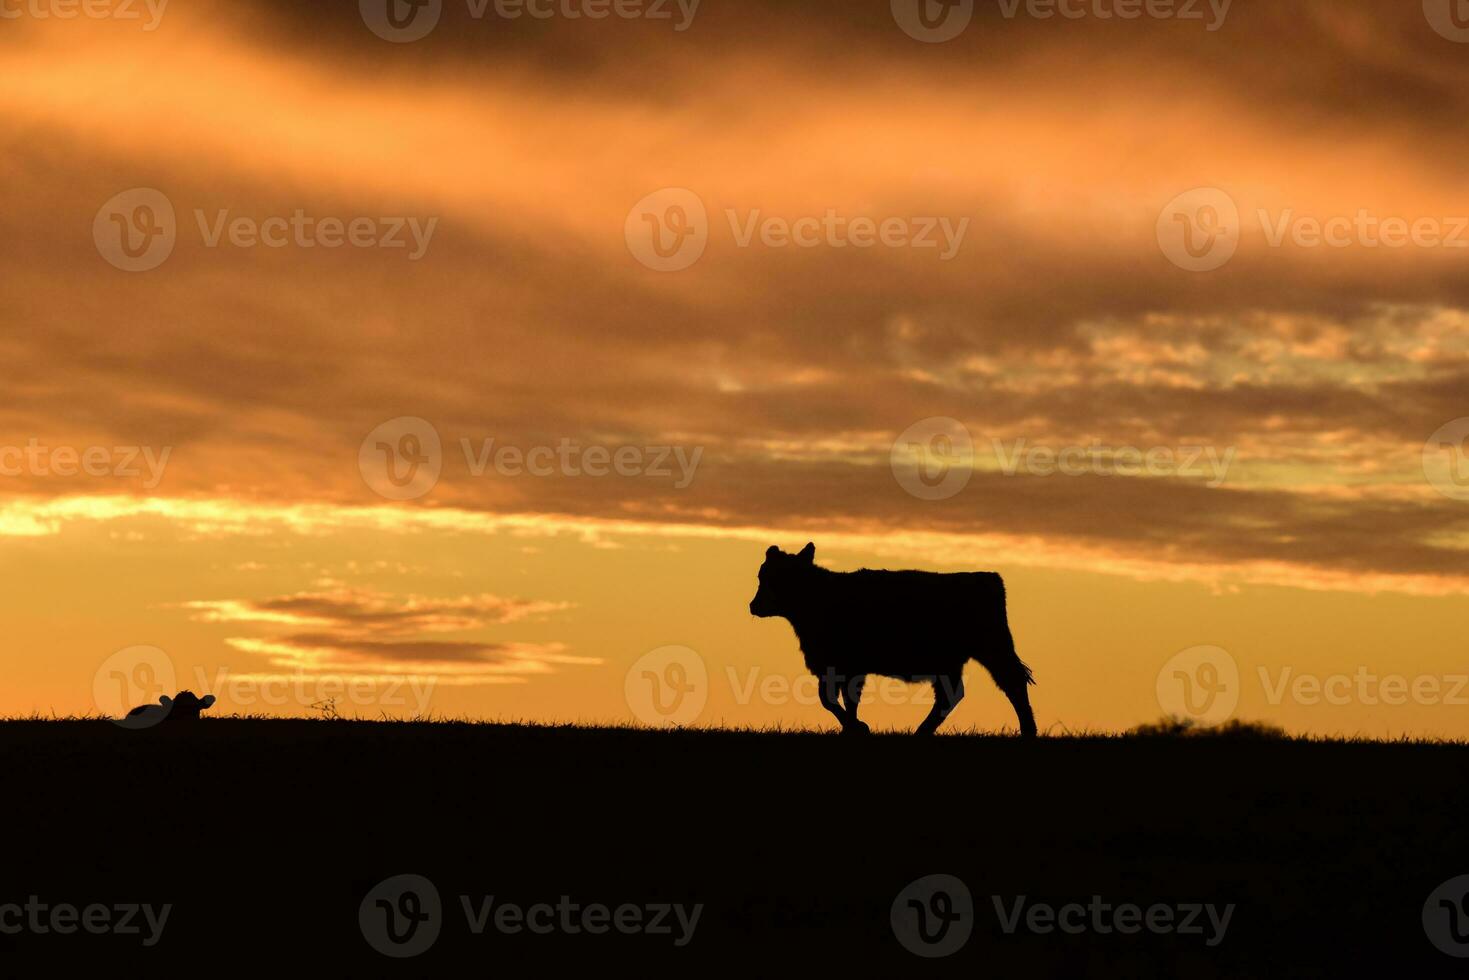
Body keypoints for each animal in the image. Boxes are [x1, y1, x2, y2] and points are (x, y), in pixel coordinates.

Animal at [752, 543, 1040, 734]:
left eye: (776, 578)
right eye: (762, 575)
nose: (753, 605)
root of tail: (988, 577)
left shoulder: (844, 665)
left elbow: (834, 699)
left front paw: (857, 727)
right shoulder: (839, 666)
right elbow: (838, 698)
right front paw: (852, 728)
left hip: (992, 648)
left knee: (1012, 682)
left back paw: (1028, 731)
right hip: (953, 662)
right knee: (951, 695)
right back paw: (922, 732)